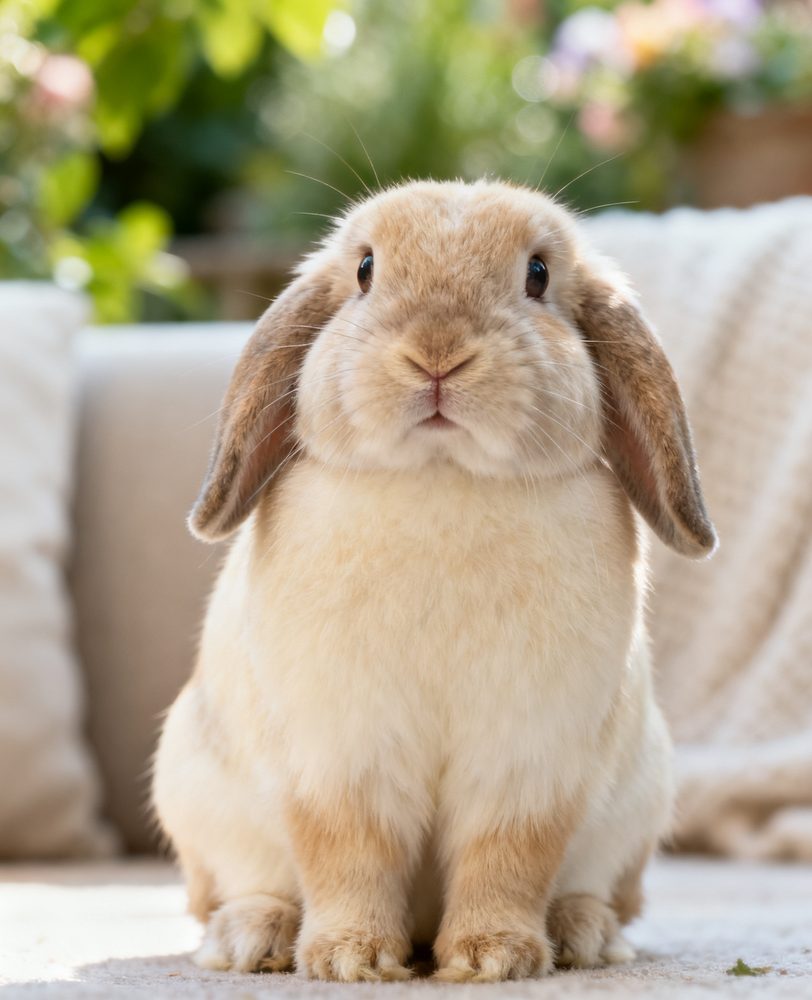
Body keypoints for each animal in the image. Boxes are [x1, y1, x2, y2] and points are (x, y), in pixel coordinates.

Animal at [152, 179, 716, 983]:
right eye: (364, 271)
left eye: (538, 275)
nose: (437, 354)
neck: (443, 477)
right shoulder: (338, 759)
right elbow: (347, 855)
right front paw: (350, 959)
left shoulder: (528, 765)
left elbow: (506, 860)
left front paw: (493, 959)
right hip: (206, 812)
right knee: (233, 891)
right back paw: (255, 937)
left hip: (632, 819)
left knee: (601, 891)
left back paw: (583, 933)